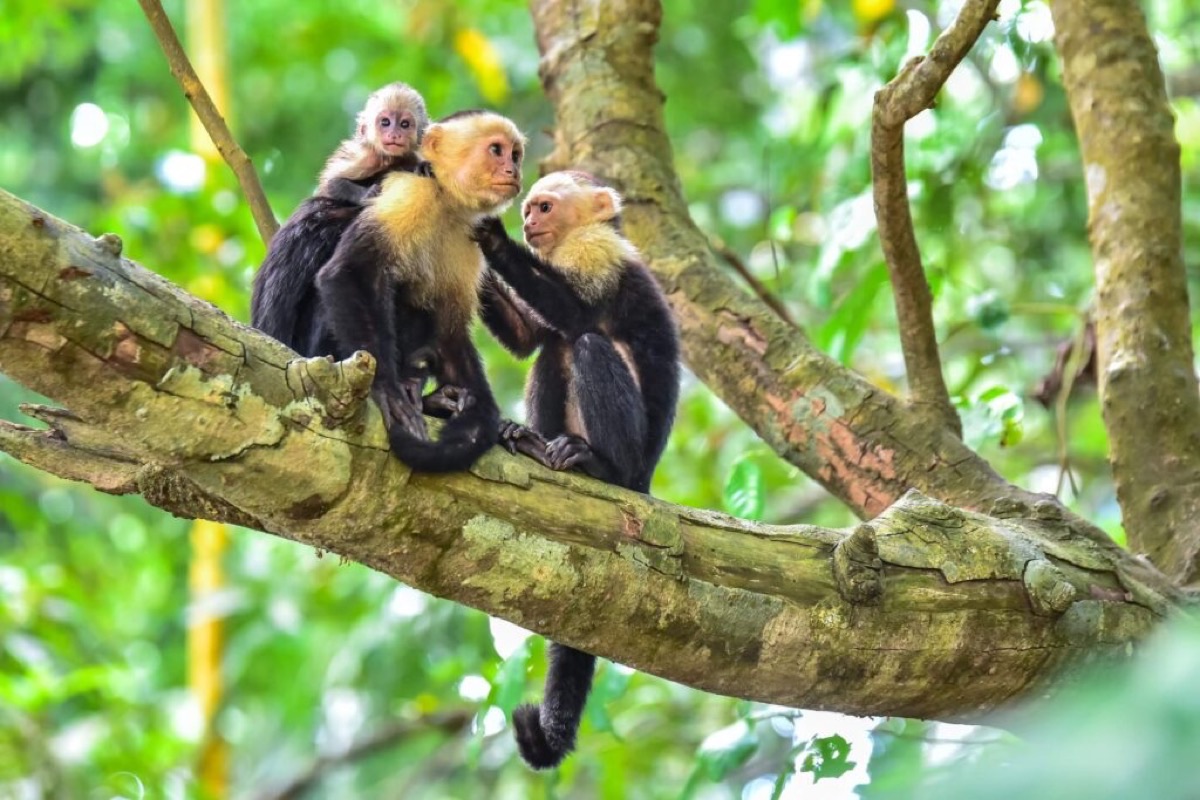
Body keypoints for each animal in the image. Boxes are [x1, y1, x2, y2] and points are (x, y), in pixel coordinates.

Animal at [314, 110, 526, 471]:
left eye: (515, 154)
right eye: (496, 150)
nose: (513, 170)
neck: (444, 200)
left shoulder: (470, 239)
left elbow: (448, 330)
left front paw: (482, 416)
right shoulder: (410, 194)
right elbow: (350, 273)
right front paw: (386, 389)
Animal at [472, 171, 680, 768]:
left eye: (543, 207)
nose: (525, 222)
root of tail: (645, 480)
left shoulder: (598, 251)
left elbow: (578, 316)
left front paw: (491, 240)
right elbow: (529, 340)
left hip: (634, 459)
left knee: (584, 343)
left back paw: (598, 466)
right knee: (552, 352)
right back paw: (533, 444)